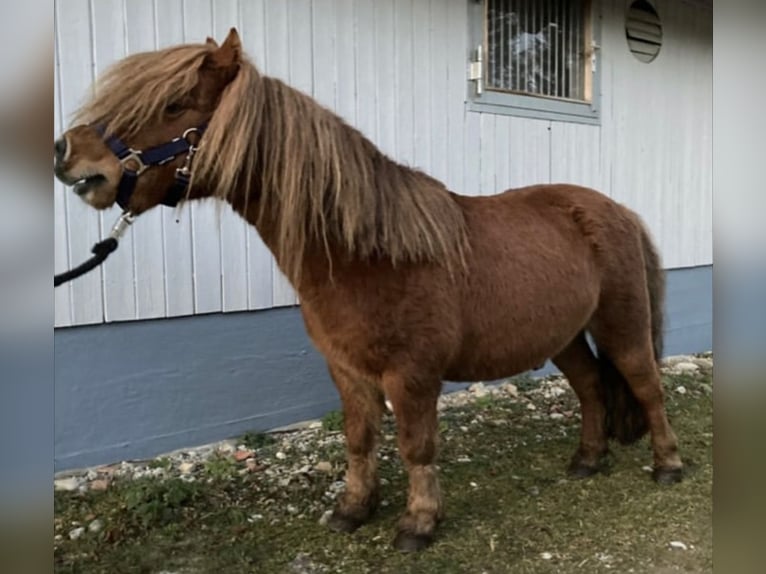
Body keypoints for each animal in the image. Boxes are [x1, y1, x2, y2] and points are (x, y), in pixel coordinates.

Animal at [53, 28, 683, 552]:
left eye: (173, 105)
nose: (68, 153)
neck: (365, 252)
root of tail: (618, 211)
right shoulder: (347, 369)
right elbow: (359, 439)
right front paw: (353, 509)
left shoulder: (413, 375)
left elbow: (416, 446)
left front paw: (419, 523)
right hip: (564, 335)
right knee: (592, 388)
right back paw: (587, 460)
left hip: (621, 325)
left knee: (646, 387)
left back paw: (668, 466)